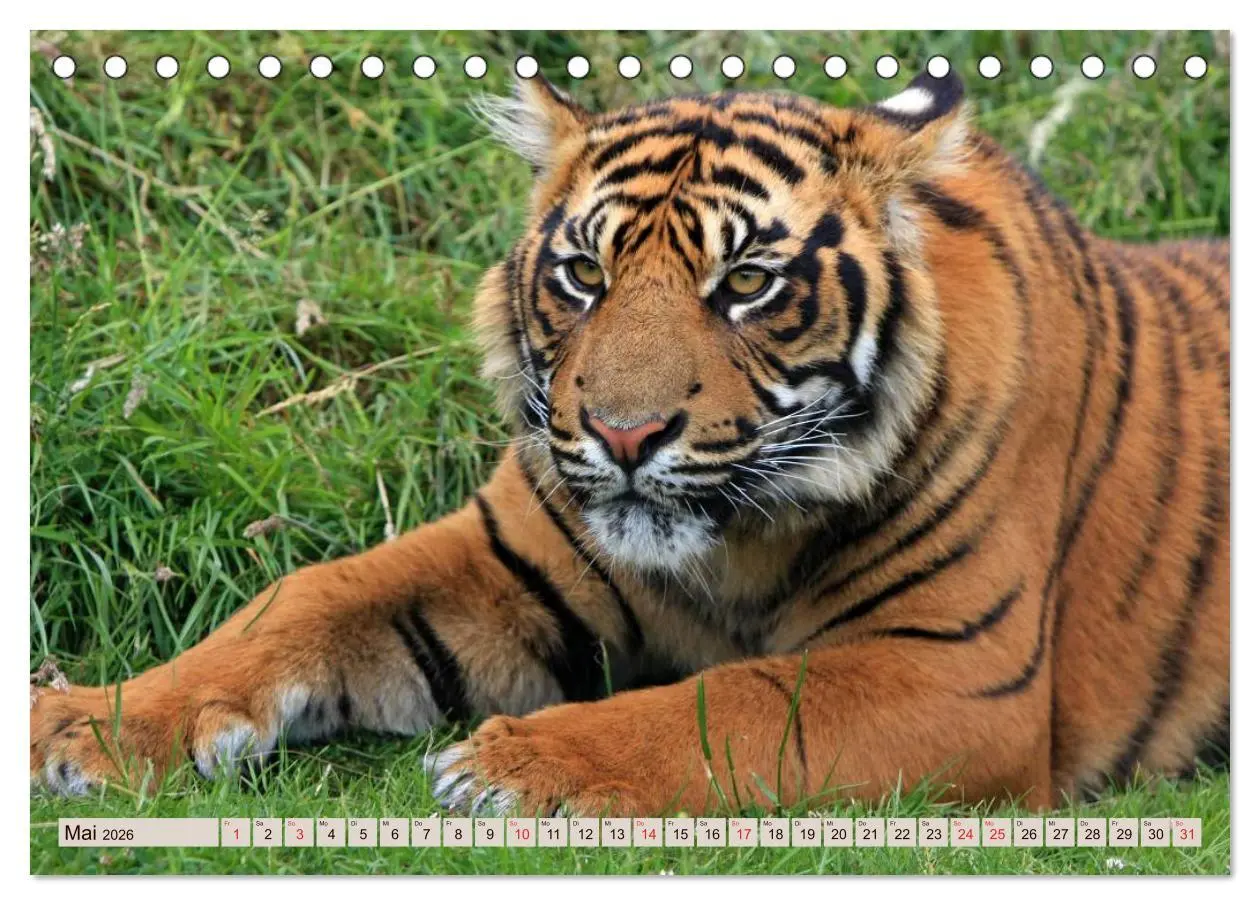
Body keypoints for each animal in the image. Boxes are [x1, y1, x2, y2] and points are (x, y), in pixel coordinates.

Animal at [30, 69, 1229, 817]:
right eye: (583, 273)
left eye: (745, 282)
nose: (624, 432)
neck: (735, 545)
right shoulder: (502, 555)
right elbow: (302, 598)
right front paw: (88, 724)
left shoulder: (958, 669)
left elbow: (735, 699)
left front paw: (514, 763)